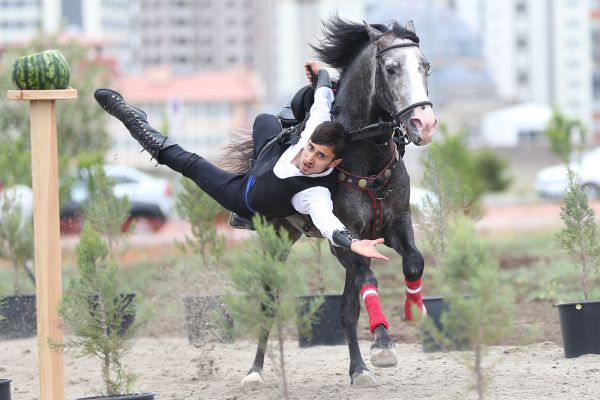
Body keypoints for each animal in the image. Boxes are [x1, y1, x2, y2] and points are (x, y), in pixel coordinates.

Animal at [227, 18, 434, 388]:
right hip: (276, 239)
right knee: (268, 301)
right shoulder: (343, 239)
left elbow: (412, 263)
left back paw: (358, 367)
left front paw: (408, 316)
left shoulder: (393, 225)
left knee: (348, 307)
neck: (364, 155)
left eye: (426, 67)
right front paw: (383, 345)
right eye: (391, 69)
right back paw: (254, 371)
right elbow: (368, 280)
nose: (424, 123)